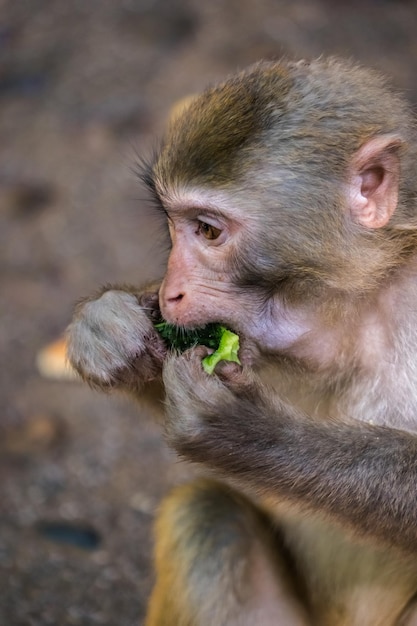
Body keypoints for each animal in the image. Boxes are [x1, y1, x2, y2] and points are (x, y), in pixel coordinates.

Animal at [66, 56, 417, 620]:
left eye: (208, 231)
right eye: (174, 225)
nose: (168, 293)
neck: (361, 306)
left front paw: (247, 432)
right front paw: (106, 328)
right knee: (209, 517)